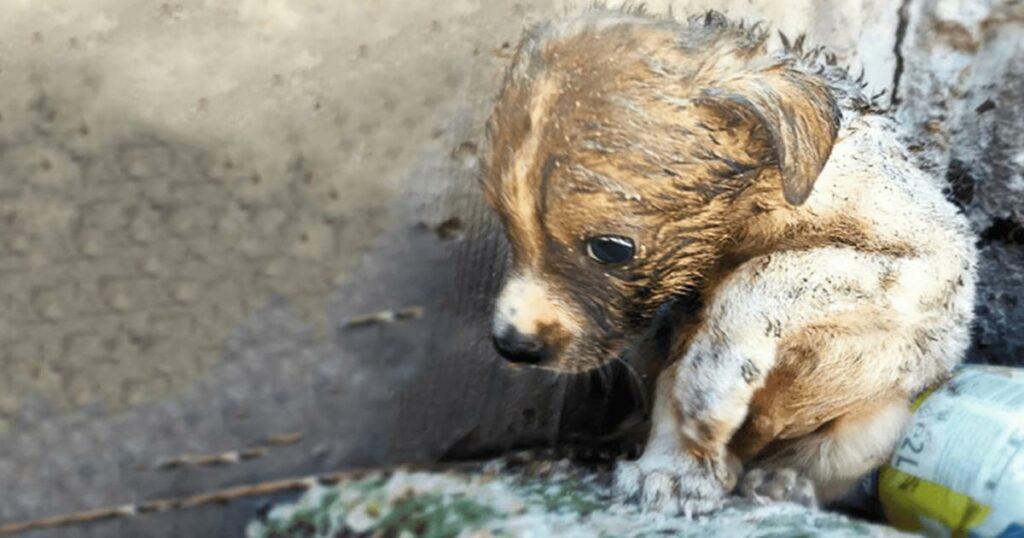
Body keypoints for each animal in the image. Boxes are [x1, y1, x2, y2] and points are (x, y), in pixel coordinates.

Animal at [479, 7, 974, 512]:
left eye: (611, 248)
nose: (512, 346)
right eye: (508, 226)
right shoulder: (680, 314)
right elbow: (673, 385)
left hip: (874, 429)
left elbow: (772, 273)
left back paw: (779, 480)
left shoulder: (937, 270)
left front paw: (710, 386)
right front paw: (675, 466)